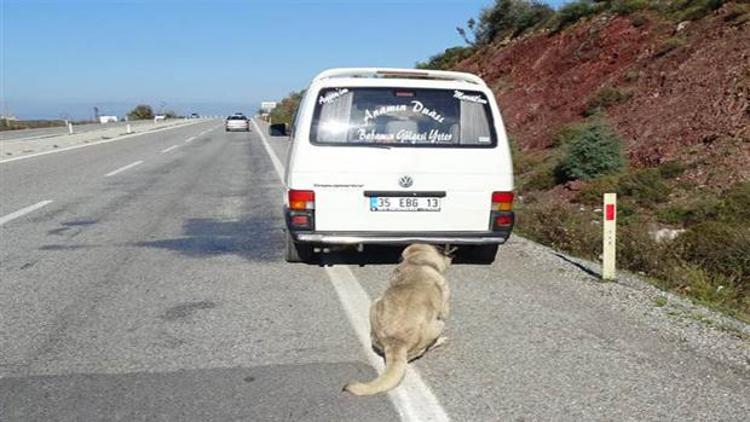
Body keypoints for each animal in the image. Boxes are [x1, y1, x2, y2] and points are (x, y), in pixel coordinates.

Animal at [346, 244, 452, 396]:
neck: (417, 262)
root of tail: (396, 342)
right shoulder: (444, 305)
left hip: (375, 304)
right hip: (439, 325)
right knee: (423, 350)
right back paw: (439, 341)